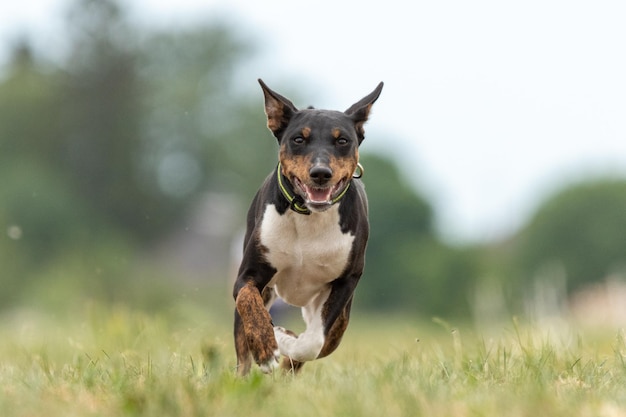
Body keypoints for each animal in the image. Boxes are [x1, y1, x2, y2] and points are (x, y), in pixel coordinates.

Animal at [232, 79, 382, 374]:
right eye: (298, 139)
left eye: (342, 140)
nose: (321, 173)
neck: (309, 216)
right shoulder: (248, 275)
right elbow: (248, 300)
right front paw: (267, 347)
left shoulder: (346, 282)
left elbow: (313, 342)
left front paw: (283, 338)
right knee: (242, 357)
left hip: (338, 318)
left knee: (320, 344)